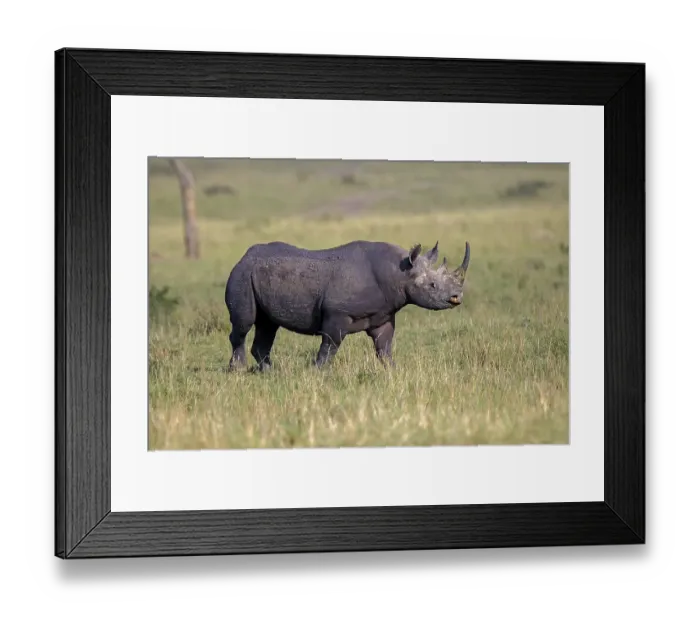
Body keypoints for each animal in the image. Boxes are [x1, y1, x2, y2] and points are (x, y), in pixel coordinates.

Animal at [224, 239, 470, 371]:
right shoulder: (337, 313)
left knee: (268, 325)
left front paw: (393, 372)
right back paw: (238, 370)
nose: (456, 297)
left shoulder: (383, 315)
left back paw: (270, 372)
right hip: (242, 274)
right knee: (244, 324)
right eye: (432, 286)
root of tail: (243, 257)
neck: (400, 273)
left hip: (258, 275)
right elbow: (330, 345)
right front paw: (317, 373)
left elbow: (384, 347)